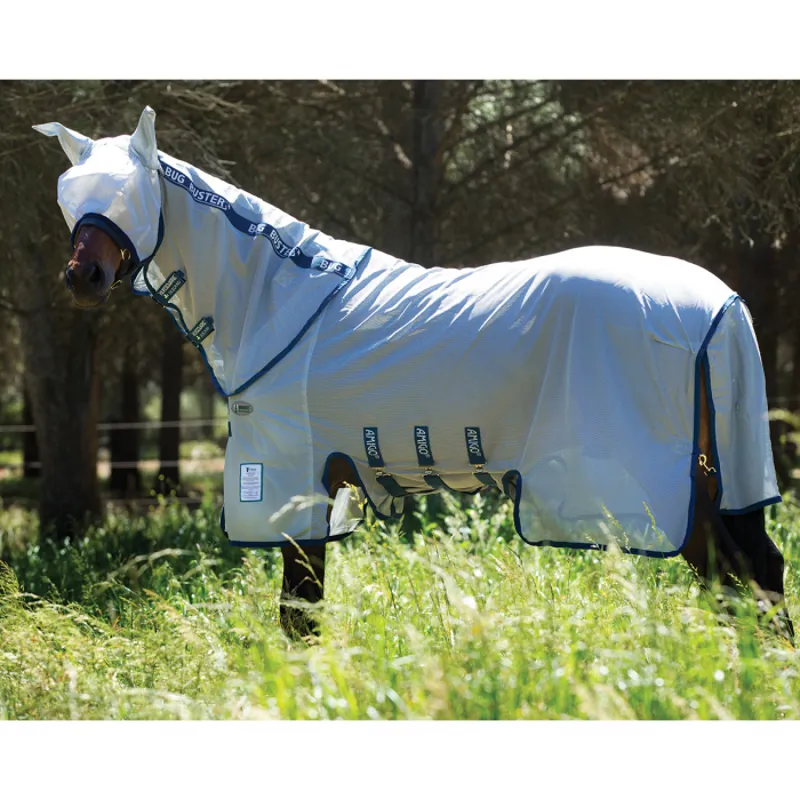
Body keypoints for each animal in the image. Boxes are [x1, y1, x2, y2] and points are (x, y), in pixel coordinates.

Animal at [35, 107, 793, 642]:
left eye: (131, 195)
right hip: (706, 482)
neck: (276, 299)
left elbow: (297, 614)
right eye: (70, 197)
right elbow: (304, 613)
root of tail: (719, 303)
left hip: (667, 491)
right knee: (751, 575)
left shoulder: (289, 483)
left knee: (744, 576)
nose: (82, 276)